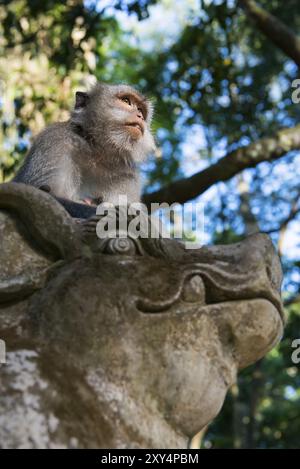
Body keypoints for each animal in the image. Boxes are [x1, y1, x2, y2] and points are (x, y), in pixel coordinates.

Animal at [13, 82, 156, 218]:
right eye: (126, 101)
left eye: (141, 110)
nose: (140, 116)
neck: (98, 152)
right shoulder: (55, 140)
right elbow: (44, 195)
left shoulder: (128, 175)